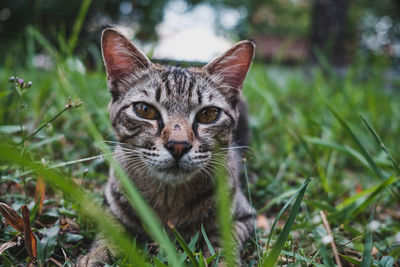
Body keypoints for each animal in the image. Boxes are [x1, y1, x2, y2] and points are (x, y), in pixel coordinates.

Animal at [76, 28, 255, 266]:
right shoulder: (110, 206)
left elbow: (226, 241)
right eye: (144, 110)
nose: (178, 145)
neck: (169, 203)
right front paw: (98, 254)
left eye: (208, 114)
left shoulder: (245, 216)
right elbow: (110, 231)